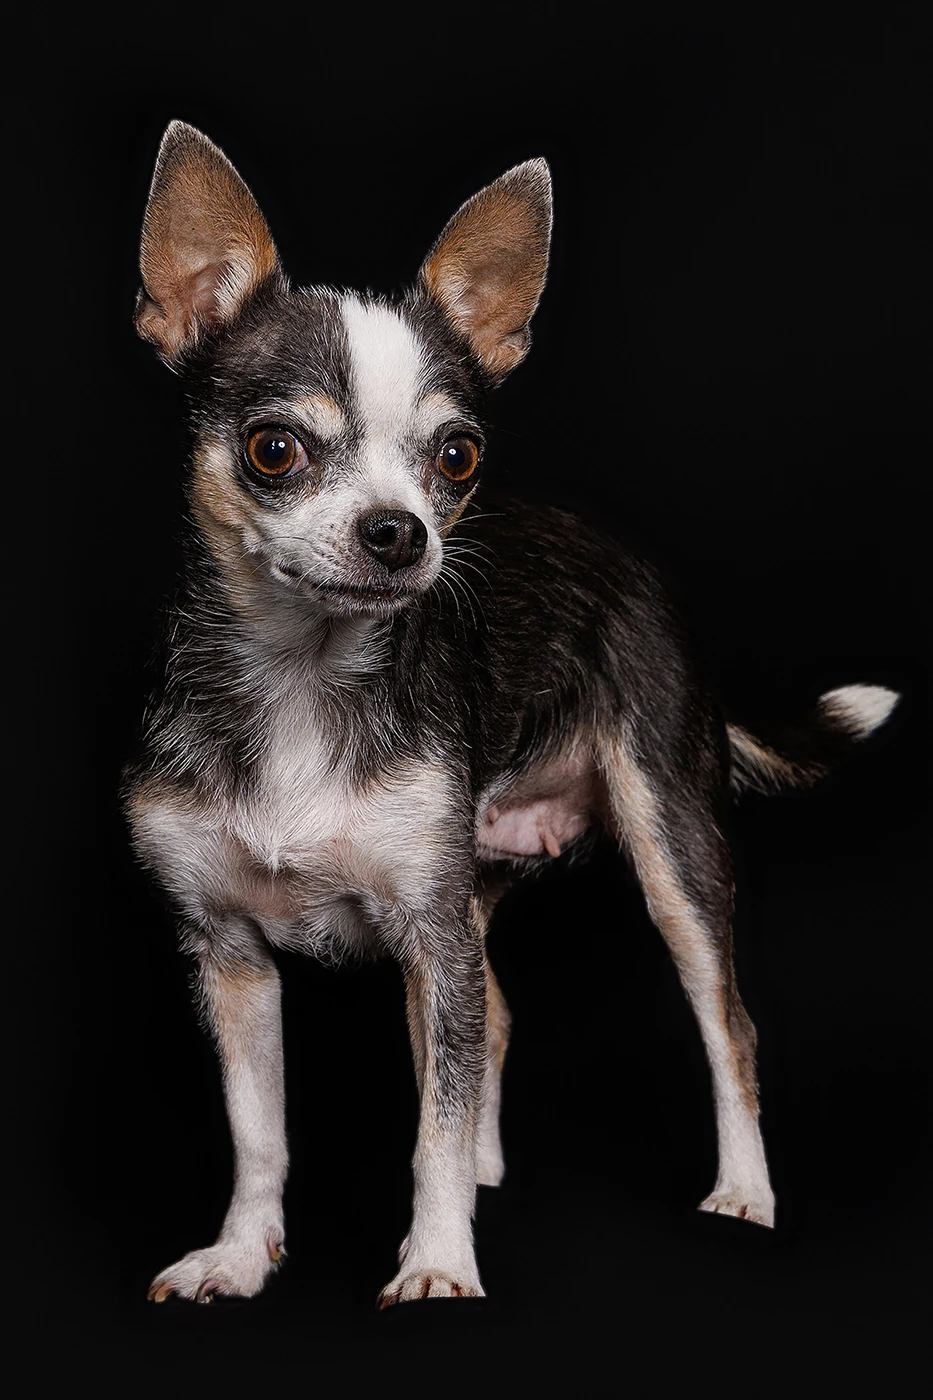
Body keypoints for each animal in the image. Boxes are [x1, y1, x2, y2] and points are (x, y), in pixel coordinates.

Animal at [127, 121, 899, 1307]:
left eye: (457, 456)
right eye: (273, 449)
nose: (399, 530)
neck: (304, 680)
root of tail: (642, 575)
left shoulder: (428, 936)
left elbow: (429, 1128)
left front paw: (439, 1259)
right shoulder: (231, 952)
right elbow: (262, 1132)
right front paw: (243, 1252)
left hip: (671, 846)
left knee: (727, 1025)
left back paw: (743, 1191)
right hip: (476, 882)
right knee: (493, 1018)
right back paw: (494, 1170)